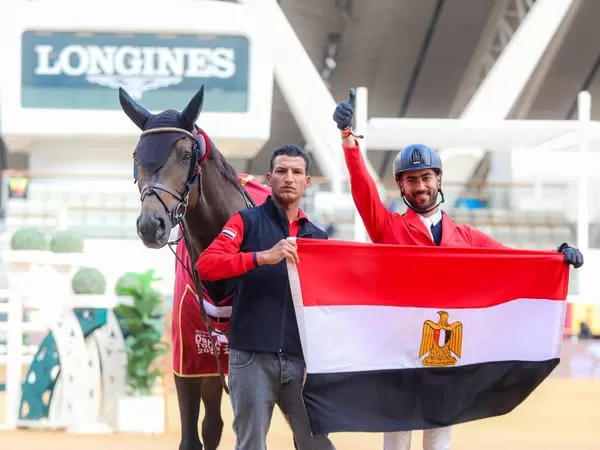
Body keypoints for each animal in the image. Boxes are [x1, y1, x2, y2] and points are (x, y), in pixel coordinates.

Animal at [119, 84, 260, 450]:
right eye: (137, 156)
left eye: (185, 155)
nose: (150, 225)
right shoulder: (188, 361)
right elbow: (191, 437)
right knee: (212, 424)